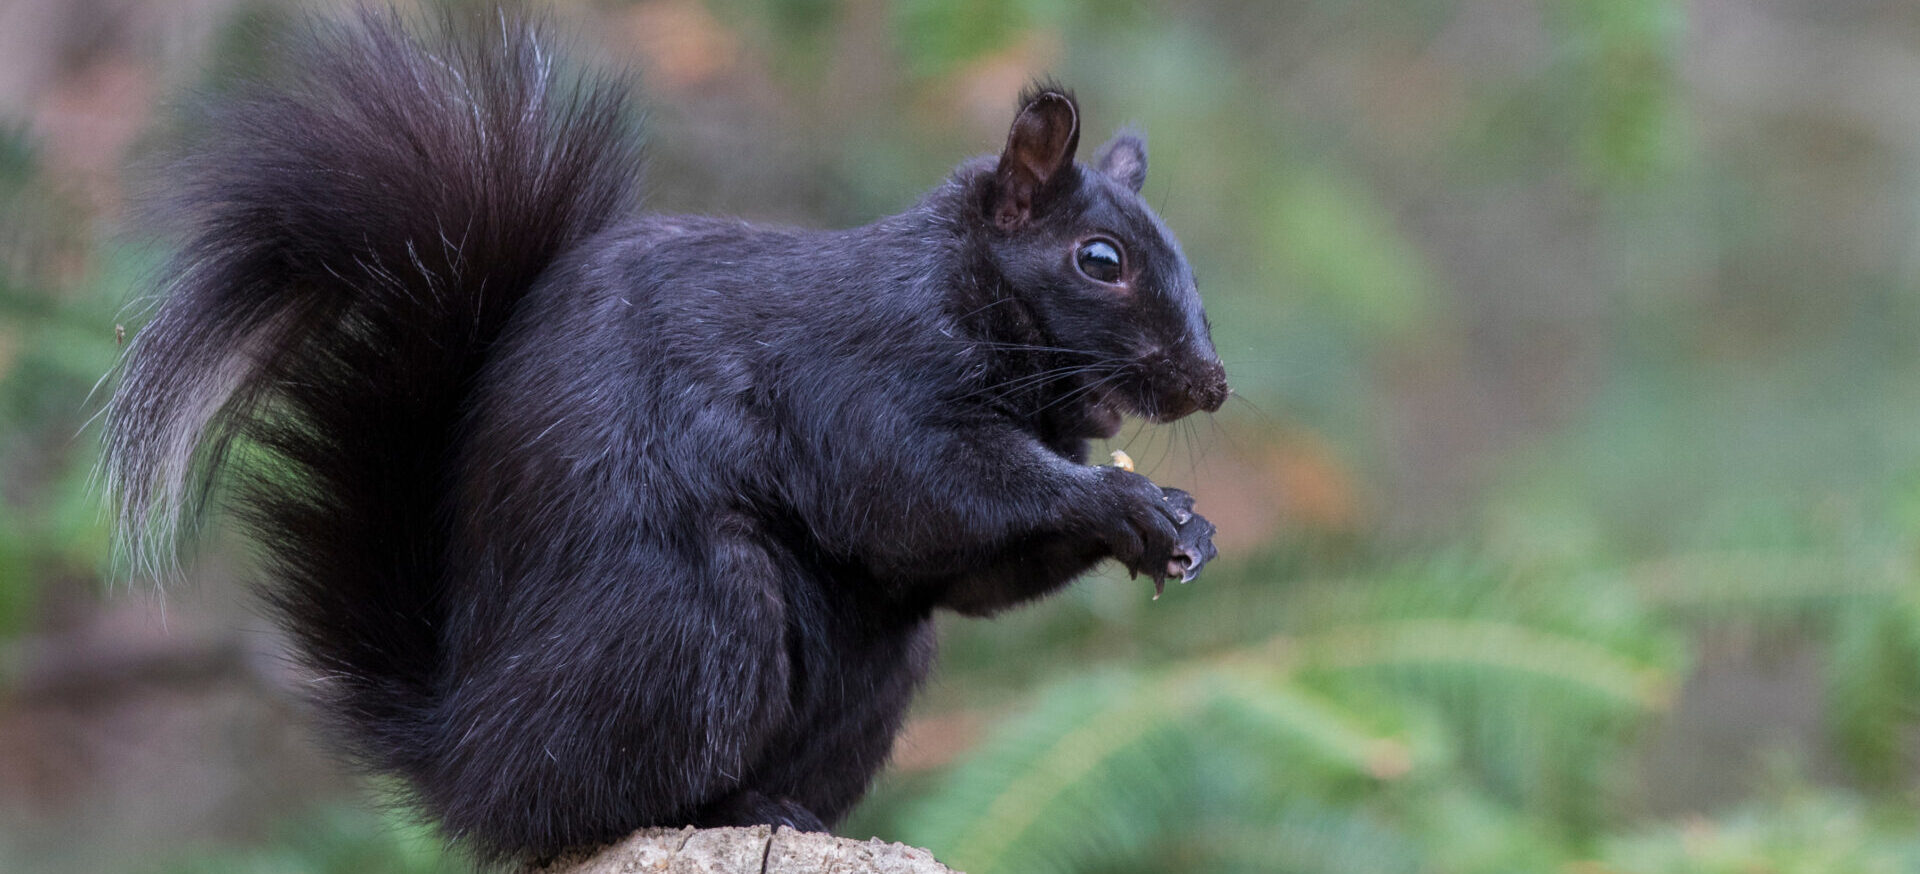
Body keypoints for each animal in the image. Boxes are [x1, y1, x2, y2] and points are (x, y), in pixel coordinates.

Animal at [105, 8, 1226, 865]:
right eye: (1099, 259)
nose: (1211, 386)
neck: (966, 297)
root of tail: (464, 753)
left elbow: (967, 575)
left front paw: (1180, 527)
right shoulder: (860, 380)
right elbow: (920, 492)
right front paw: (1123, 500)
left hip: (870, 668)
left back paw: (792, 811)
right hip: (695, 620)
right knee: (601, 799)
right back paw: (728, 807)